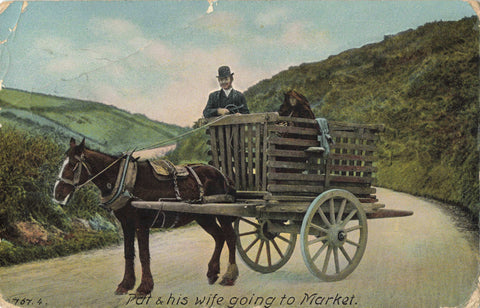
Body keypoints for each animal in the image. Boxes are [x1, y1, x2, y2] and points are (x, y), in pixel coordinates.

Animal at [54, 138, 240, 296]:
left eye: (73, 165)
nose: (57, 194)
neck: (125, 181)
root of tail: (222, 174)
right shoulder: (126, 224)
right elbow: (128, 253)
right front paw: (126, 284)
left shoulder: (141, 224)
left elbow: (144, 255)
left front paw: (144, 287)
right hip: (203, 216)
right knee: (219, 237)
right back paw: (212, 272)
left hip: (222, 211)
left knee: (230, 237)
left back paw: (229, 275)